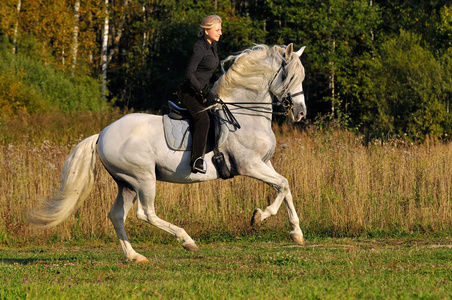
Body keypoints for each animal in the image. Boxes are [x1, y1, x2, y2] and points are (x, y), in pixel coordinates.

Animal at [28, 42, 308, 262]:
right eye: (290, 77)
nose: (301, 113)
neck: (245, 114)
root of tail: (102, 134)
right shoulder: (248, 165)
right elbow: (283, 185)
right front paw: (259, 216)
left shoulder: (264, 163)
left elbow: (285, 187)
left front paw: (296, 233)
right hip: (143, 177)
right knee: (146, 213)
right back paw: (186, 240)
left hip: (126, 183)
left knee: (117, 216)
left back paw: (134, 256)